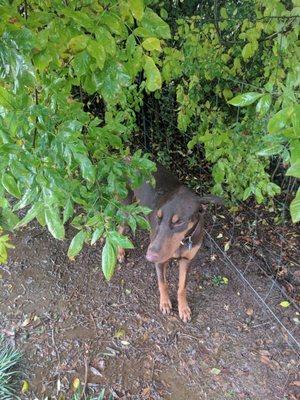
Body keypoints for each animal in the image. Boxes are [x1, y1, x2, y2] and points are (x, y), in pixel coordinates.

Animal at [119, 162, 223, 322]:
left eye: (179, 221)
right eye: (158, 217)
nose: (150, 256)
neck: (184, 240)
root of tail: (128, 159)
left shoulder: (187, 260)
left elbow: (182, 287)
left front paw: (183, 308)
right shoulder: (160, 262)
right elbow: (163, 283)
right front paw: (165, 303)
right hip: (126, 207)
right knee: (118, 230)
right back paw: (119, 252)